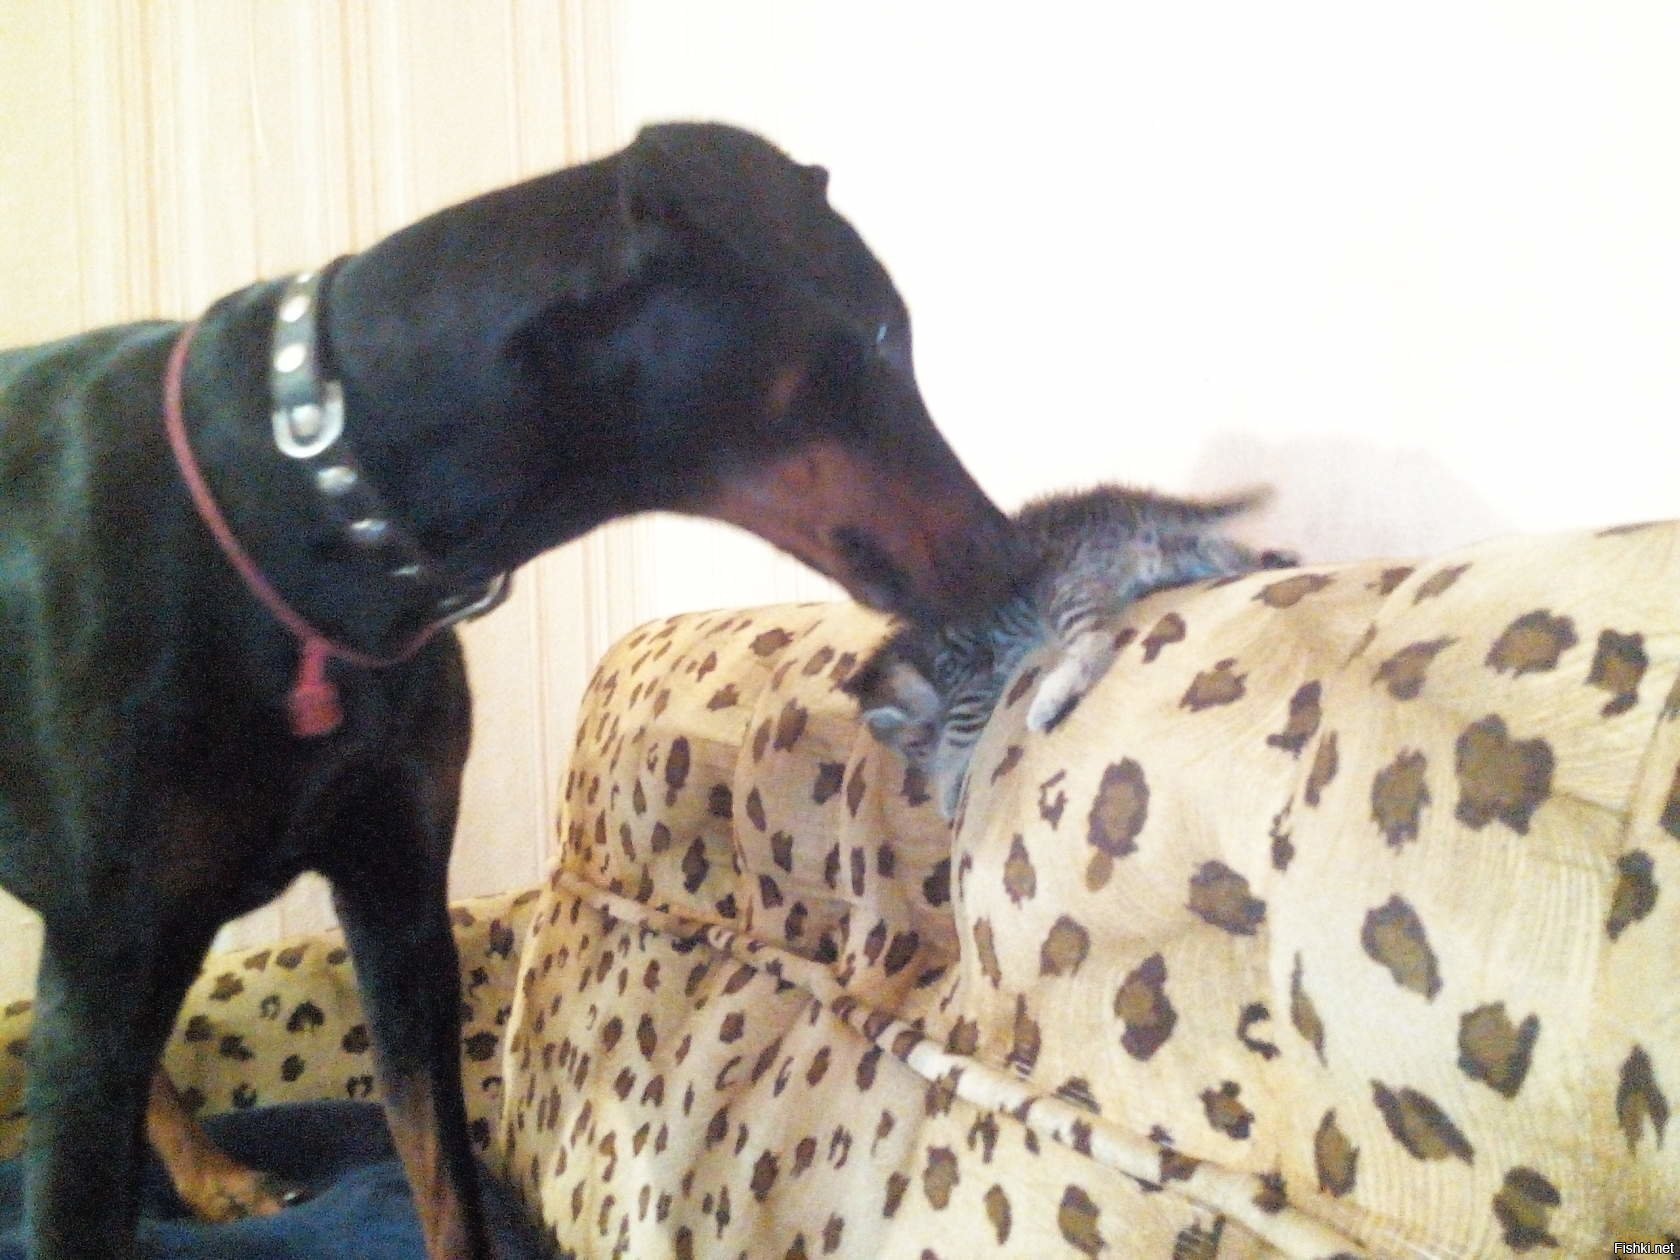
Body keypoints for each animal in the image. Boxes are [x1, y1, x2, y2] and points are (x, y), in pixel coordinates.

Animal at [0, 122, 1022, 1259]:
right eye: (885, 333)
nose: (1015, 554)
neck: (317, 493)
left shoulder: (400, 906)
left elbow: (446, 1187)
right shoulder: (110, 956)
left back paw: (217, 1177)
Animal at [843, 483, 1295, 818]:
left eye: (916, 747)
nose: (920, 769)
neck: (918, 654)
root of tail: (1127, 503)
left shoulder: (970, 678)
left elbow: (956, 736)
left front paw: (945, 789)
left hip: (1062, 587)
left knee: (1092, 643)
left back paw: (1050, 698)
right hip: (1166, 558)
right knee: (1222, 554)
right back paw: (1273, 559)